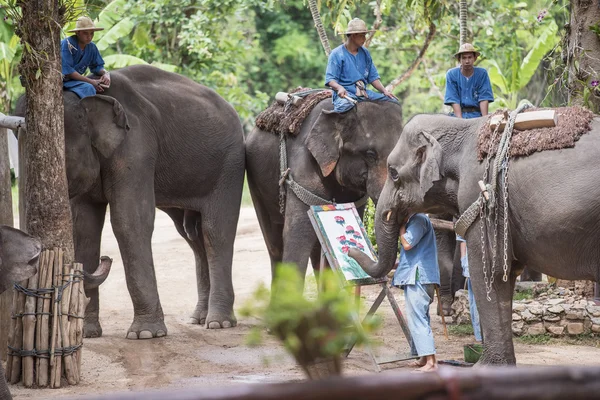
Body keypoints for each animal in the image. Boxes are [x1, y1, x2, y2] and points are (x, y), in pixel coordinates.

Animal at [16, 65, 246, 338]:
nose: (106, 259)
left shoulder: (136, 146)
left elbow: (130, 222)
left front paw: (145, 334)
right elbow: (84, 227)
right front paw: (88, 334)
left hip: (230, 165)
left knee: (215, 232)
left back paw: (218, 323)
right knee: (191, 235)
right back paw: (198, 318)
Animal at [244, 100, 404, 282]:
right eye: (370, 154)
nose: (351, 251)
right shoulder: (303, 167)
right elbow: (298, 235)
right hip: (255, 179)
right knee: (275, 244)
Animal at [350, 113, 600, 366]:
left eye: (393, 172)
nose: (351, 250)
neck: (462, 127)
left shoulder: (482, 194)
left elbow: (489, 270)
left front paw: (485, 366)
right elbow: (507, 271)